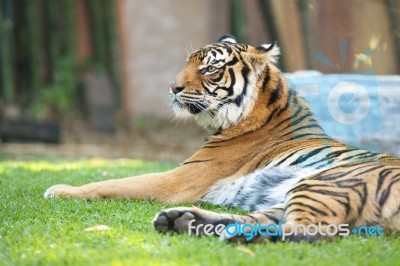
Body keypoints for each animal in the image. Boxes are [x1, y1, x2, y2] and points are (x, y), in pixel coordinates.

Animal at [45, 34, 400, 242]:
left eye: (209, 69)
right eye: (188, 63)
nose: (172, 87)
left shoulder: (178, 179)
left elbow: (113, 183)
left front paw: (59, 189)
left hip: (326, 182)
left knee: (307, 233)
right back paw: (182, 220)